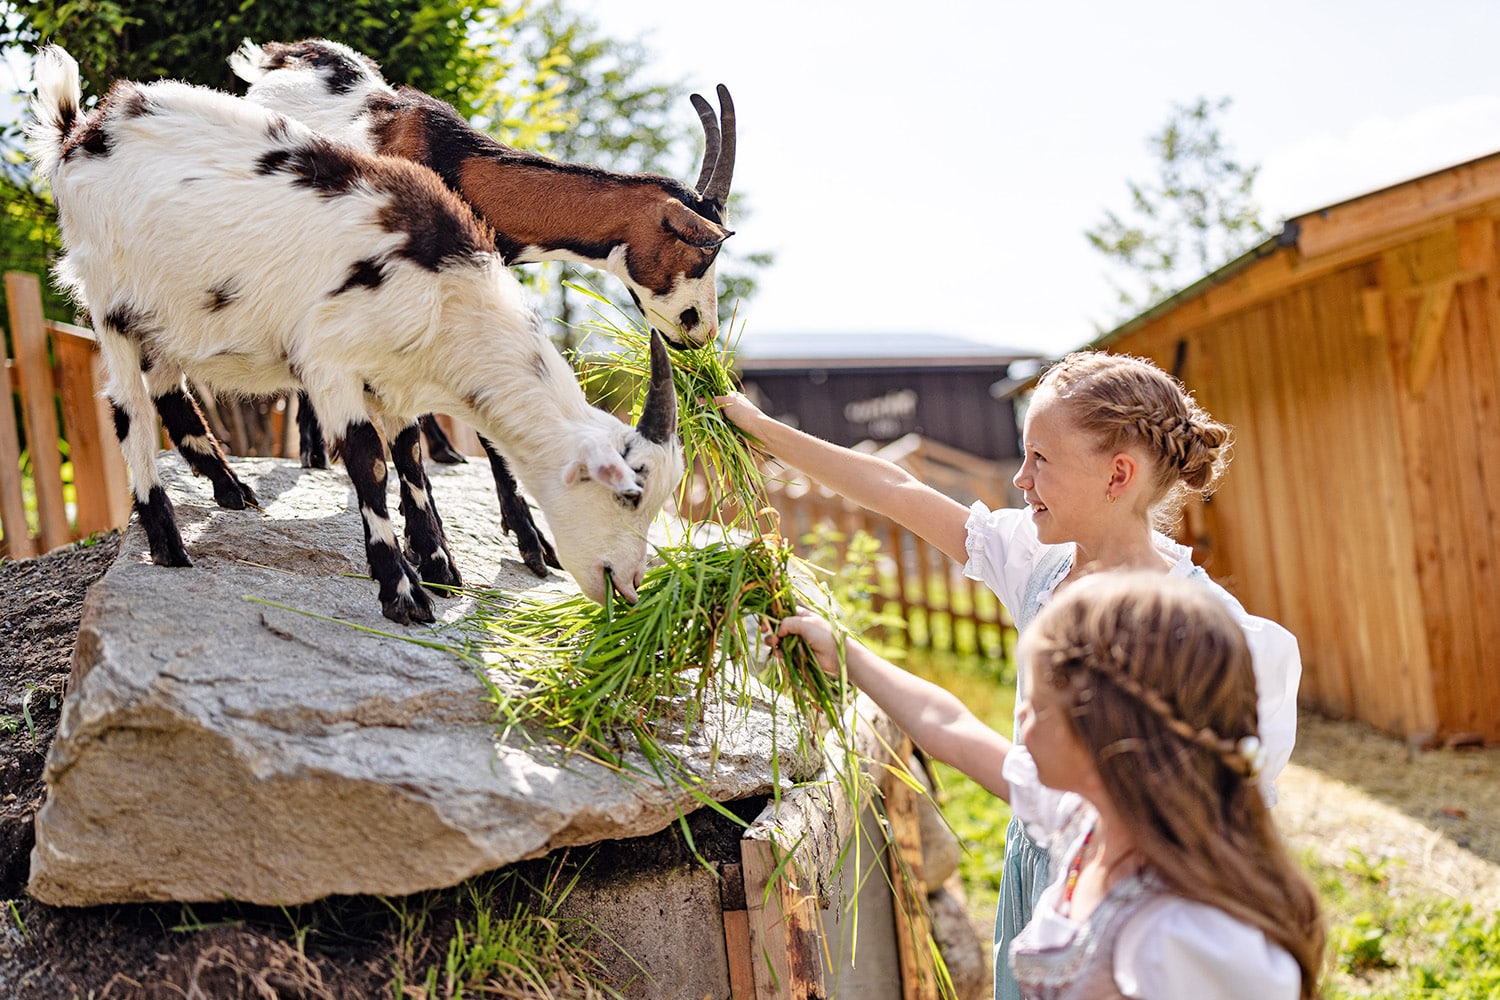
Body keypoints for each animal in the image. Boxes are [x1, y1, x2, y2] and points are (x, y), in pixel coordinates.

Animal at [26, 48, 684, 626]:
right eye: (629, 495)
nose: (629, 586)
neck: (447, 295)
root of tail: (78, 130)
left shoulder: (393, 379)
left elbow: (410, 458)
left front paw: (439, 567)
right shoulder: (330, 366)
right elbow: (369, 463)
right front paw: (403, 594)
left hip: (171, 310)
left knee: (168, 387)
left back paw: (230, 489)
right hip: (109, 299)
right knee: (129, 410)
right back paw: (166, 541)